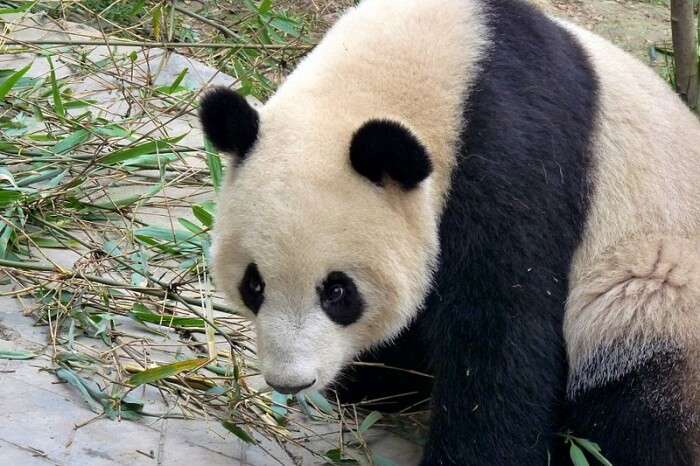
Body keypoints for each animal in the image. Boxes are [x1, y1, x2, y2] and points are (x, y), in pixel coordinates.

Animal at [197, 0, 700, 464]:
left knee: (638, 390)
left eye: (338, 292)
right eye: (254, 285)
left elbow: (500, 329)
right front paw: (373, 380)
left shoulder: (514, 155)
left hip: (657, 295)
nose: (290, 381)